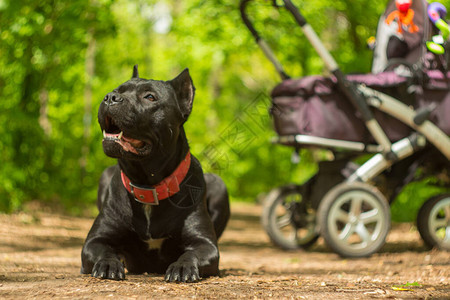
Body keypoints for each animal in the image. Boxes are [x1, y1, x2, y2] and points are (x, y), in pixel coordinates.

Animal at [80, 64, 232, 282]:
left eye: (150, 97)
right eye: (117, 90)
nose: (110, 97)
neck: (148, 184)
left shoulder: (205, 244)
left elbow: (191, 253)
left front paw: (182, 267)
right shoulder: (95, 240)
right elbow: (104, 251)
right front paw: (109, 263)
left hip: (220, 186)